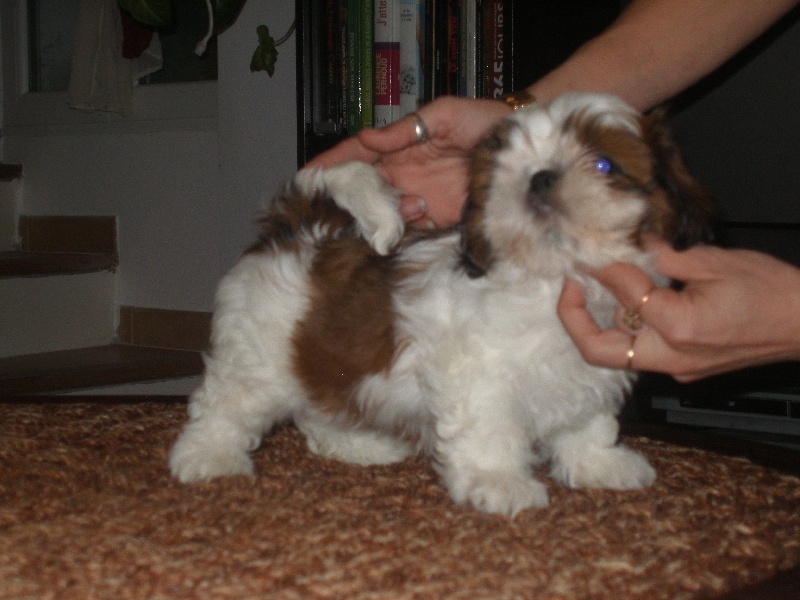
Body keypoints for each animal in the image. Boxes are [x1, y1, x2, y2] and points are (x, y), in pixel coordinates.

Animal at [172, 92, 708, 516]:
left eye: (604, 165)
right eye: (509, 163)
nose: (539, 177)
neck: (550, 275)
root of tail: (296, 228)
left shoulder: (587, 369)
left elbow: (587, 421)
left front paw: (599, 463)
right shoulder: (477, 373)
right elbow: (491, 429)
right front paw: (500, 483)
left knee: (319, 403)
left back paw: (356, 444)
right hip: (256, 355)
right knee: (226, 404)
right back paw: (207, 457)